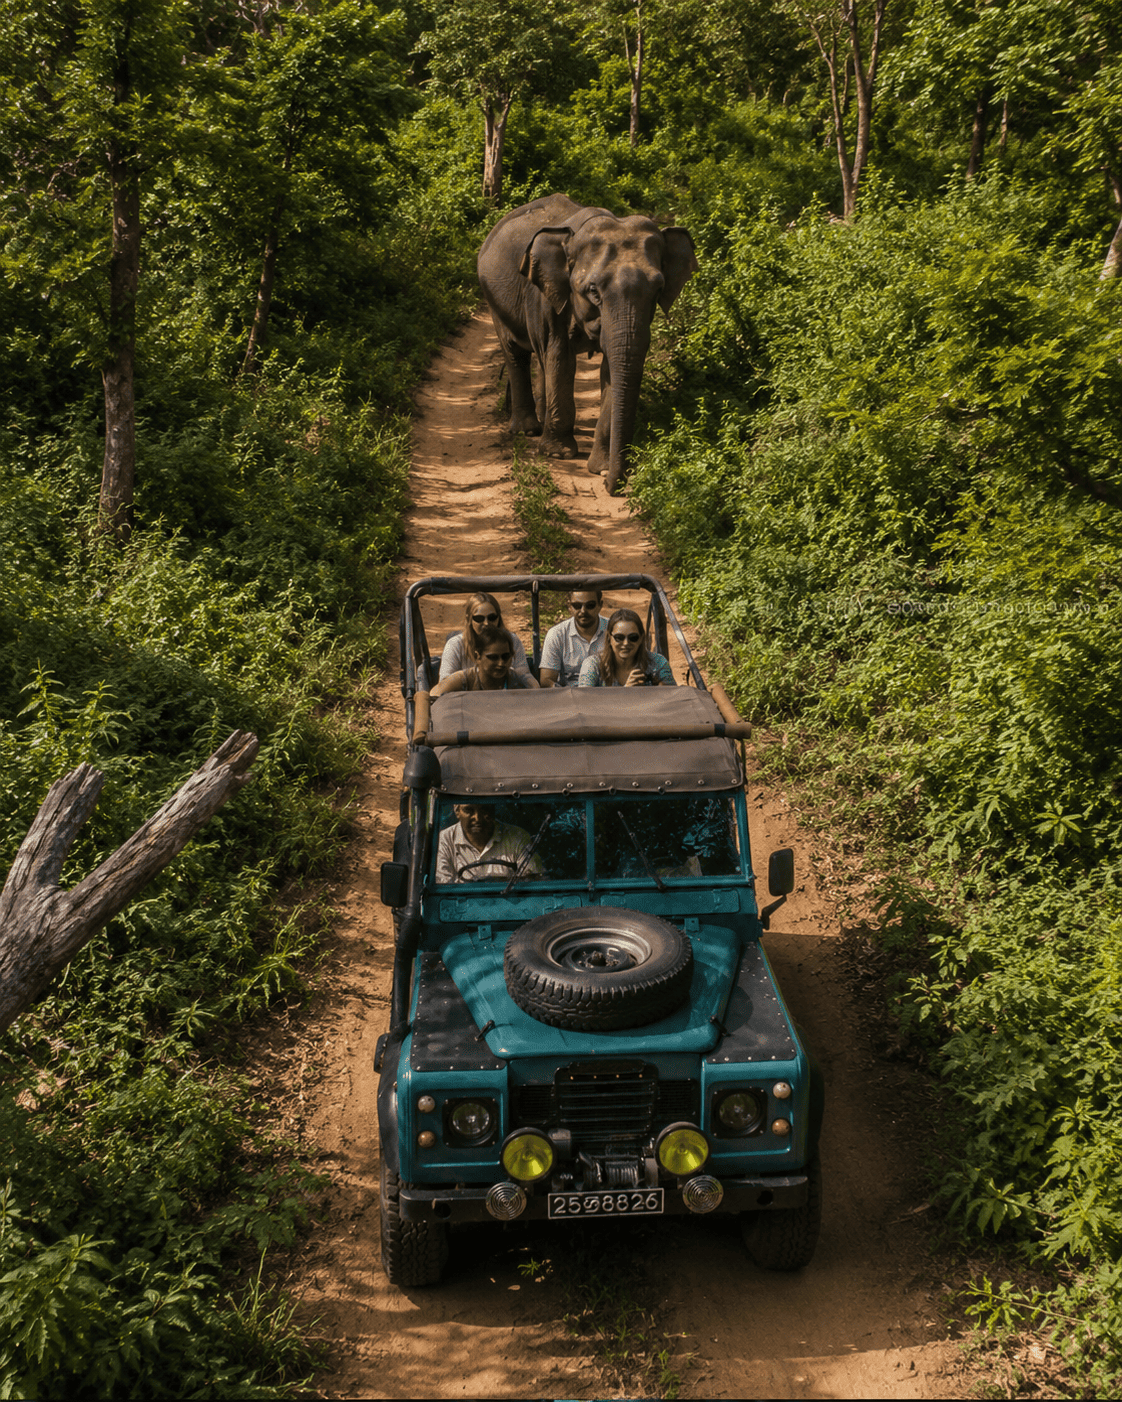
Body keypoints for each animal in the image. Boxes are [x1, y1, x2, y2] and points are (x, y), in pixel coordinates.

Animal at [477, 193, 697, 495]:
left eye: (659, 290)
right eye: (593, 290)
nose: (611, 486)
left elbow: (609, 369)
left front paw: (600, 467)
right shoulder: (546, 296)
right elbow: (560, 357)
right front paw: (558, 454)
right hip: (493, 299)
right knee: (517, 353)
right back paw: (528, 430)